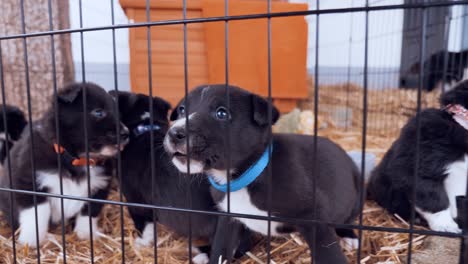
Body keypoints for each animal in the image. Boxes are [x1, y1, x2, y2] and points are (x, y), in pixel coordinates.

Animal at [0, 82, 129, 248]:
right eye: (98, 112)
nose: (126, 133)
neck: (76, 158)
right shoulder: (29, 182)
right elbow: (36, 215)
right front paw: (31, 242)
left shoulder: (98, 187)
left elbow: (88, 213)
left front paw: (86, 235)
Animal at [163, 84, 360, 264]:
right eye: (181, 110)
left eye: (221, 114)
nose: (174, 133)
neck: (244, 178)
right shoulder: (228, 219)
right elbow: (220, 251)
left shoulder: (314, 219)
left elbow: (329, 254)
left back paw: (349, 236)